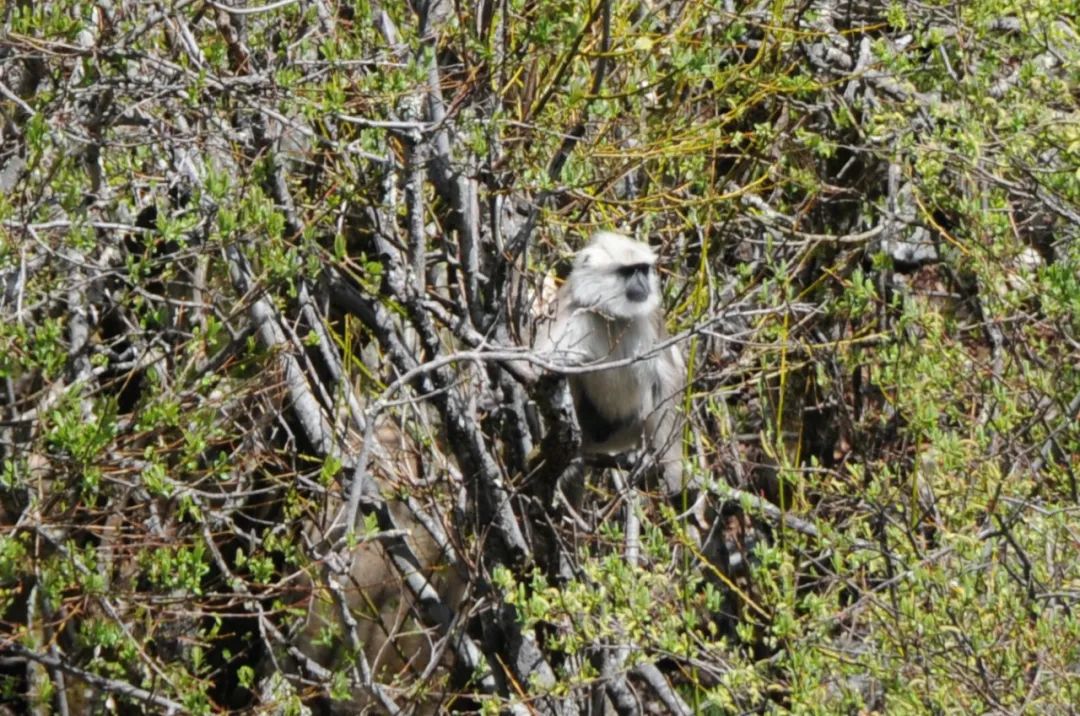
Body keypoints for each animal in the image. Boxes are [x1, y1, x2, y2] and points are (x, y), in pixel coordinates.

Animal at [535, 234, 686, 498]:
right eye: (628, 272)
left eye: (642, 269)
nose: (643, 283)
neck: (613, 315)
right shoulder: (572, 307)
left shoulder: (650, 318)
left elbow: (669, 375)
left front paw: (673, 468)